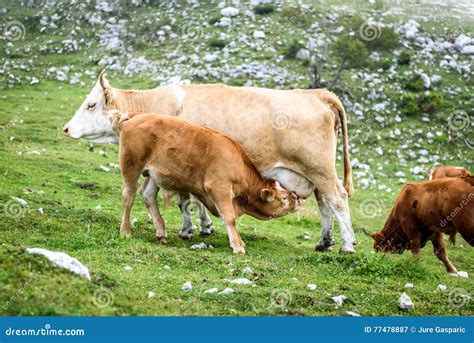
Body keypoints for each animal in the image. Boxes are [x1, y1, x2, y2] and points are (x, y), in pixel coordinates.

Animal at [108, 111, 300, 254]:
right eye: (283, 198)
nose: (296, 197)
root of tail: (138, 115)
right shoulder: (219, 188)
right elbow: (229, 217)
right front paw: (237, 246)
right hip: (131, 166)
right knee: (129, 196)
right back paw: (125, 230)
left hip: (154, 174)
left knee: (148, 195)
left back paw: (161, 232)